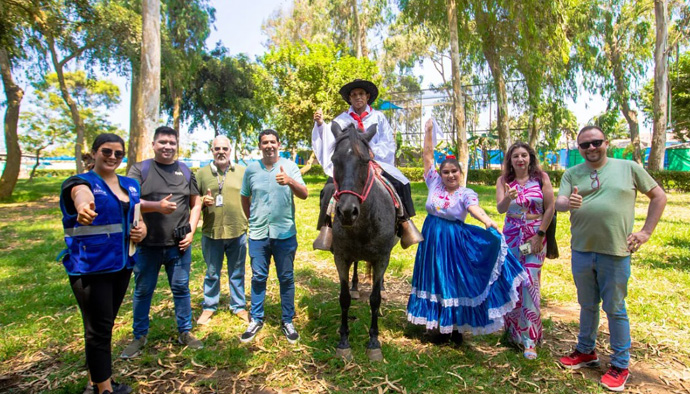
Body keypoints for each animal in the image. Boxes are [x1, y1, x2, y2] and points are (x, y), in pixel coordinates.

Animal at [330, 122, 396, 360]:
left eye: (366, 161)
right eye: (334, 160)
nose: (347, 212)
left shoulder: (381, 258)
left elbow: (375, 299)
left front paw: (374, 342)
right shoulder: (341, 257)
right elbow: (344, 298)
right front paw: (343, 341)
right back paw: (356, 285)